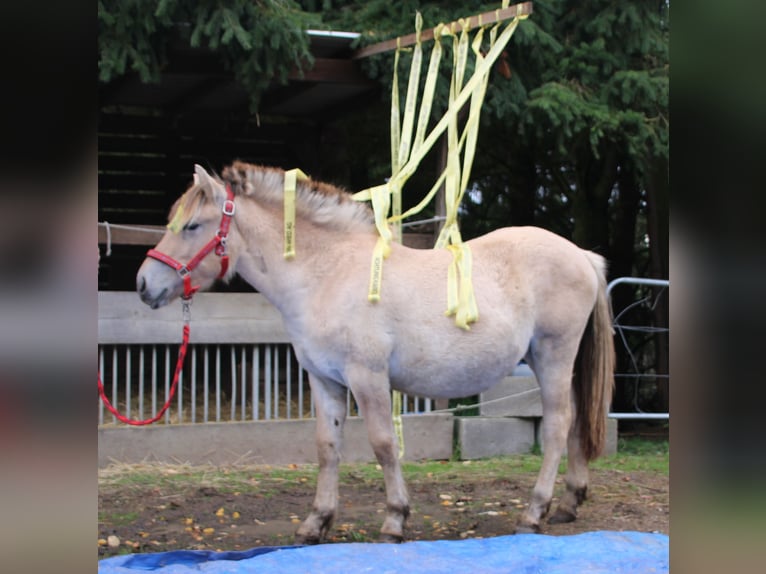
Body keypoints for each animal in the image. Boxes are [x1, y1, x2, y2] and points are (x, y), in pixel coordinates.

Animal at [138, 163, 616, 544]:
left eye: (192, 226)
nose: (144, 284)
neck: (327, 273)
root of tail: (580, 255)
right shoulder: (324, 379)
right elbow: (327, 447)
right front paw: (316, 522)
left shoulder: (367, 377)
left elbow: (384, 445)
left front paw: (394, 521)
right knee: (574, 422)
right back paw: (568, 504)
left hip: (554, 355)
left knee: (557, 426)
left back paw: (534, 513)